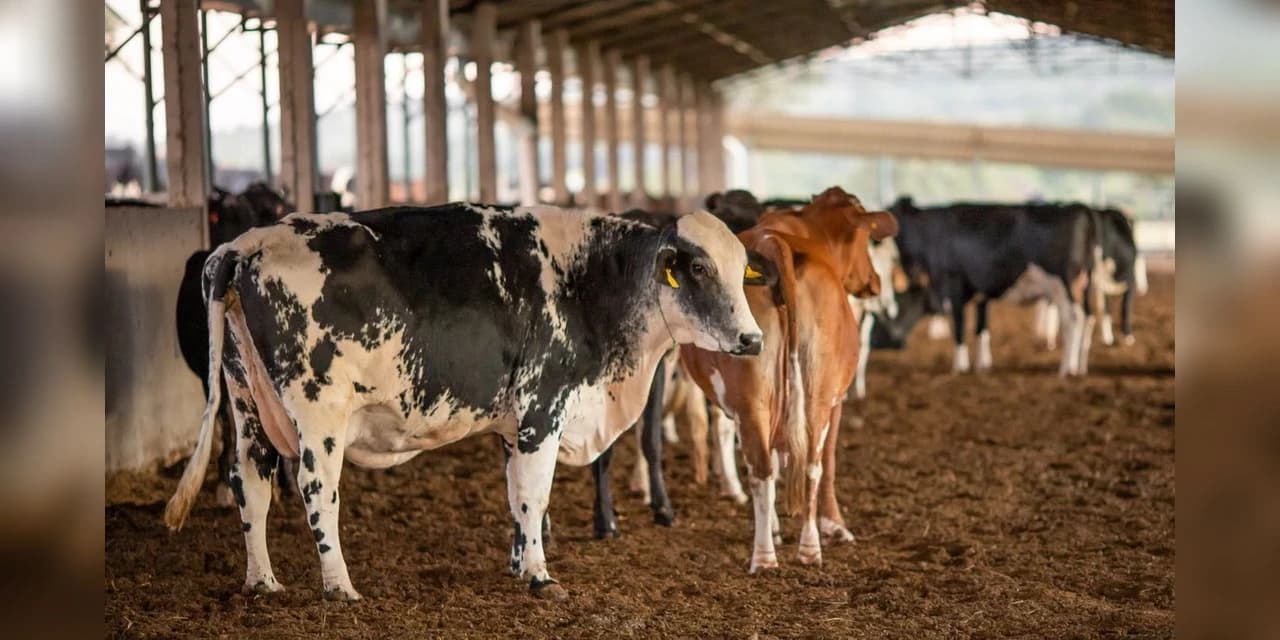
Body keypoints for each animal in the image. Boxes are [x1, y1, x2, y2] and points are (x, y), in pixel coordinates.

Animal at [163, 203, 764, 601]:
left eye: (741, 271)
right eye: (700, 268)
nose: (753, 339)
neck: (592, 281)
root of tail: (244, 245)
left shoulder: (514, 423)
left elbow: (516, 495)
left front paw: (521, 565)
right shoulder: (543, 407)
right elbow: (535, 496)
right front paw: (541, 577)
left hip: (247, 402)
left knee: (250, 481)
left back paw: (262, 582)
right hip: (318, 412)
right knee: (316, 489)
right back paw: (339, 587)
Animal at [681, 187, 897, 572]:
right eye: (864, 240)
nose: (874, 282)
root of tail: (774, 244)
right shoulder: (836, 401)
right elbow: (828, 463)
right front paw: (835, 526)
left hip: (761, 400)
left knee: (777, 466)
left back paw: (786, 550)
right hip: (812, 397)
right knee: (801, 465)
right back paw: (782, 552)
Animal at [888, 197, 1099, 376]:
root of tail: (1077, 206)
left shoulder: (953, 282)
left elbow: (959, 325)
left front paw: (959, 366)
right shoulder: (981, 292)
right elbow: (981, 328)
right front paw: (982, 366)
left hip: (1064, 284)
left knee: (1073, 320)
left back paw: (1066, 368)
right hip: (1084, 283)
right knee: (1088, 318)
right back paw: (1080, 367)